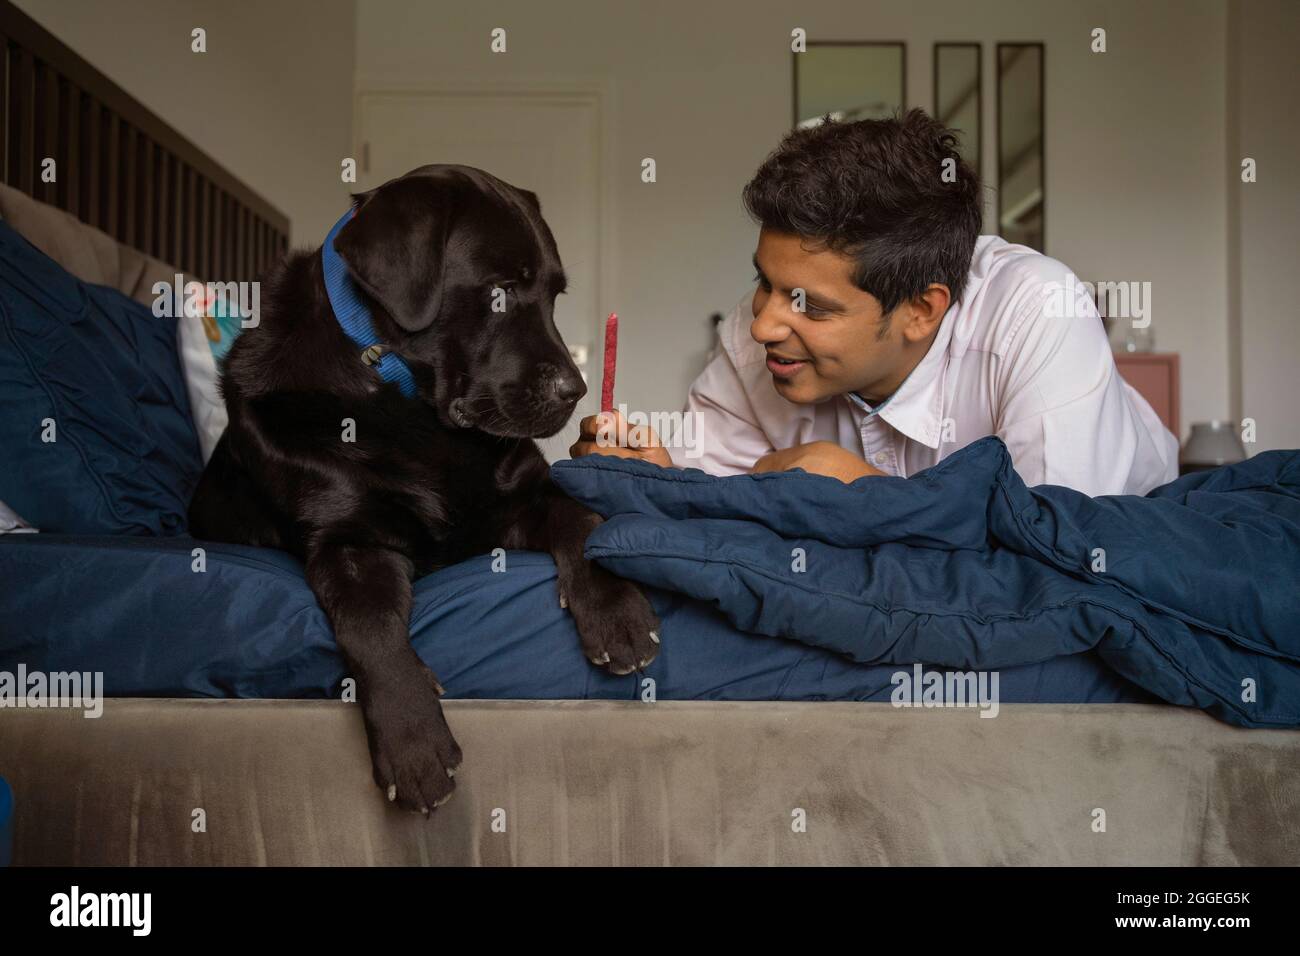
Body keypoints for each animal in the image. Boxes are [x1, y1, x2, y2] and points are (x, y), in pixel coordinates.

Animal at [185, 164, 660, 816]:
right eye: (499, 292)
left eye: (555, 296)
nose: (576, 390)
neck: (406, 405)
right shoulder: (348, 542)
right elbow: (371, 627)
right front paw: (413, 741)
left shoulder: (521, 498)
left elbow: (583, 520)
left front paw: (615, 612)